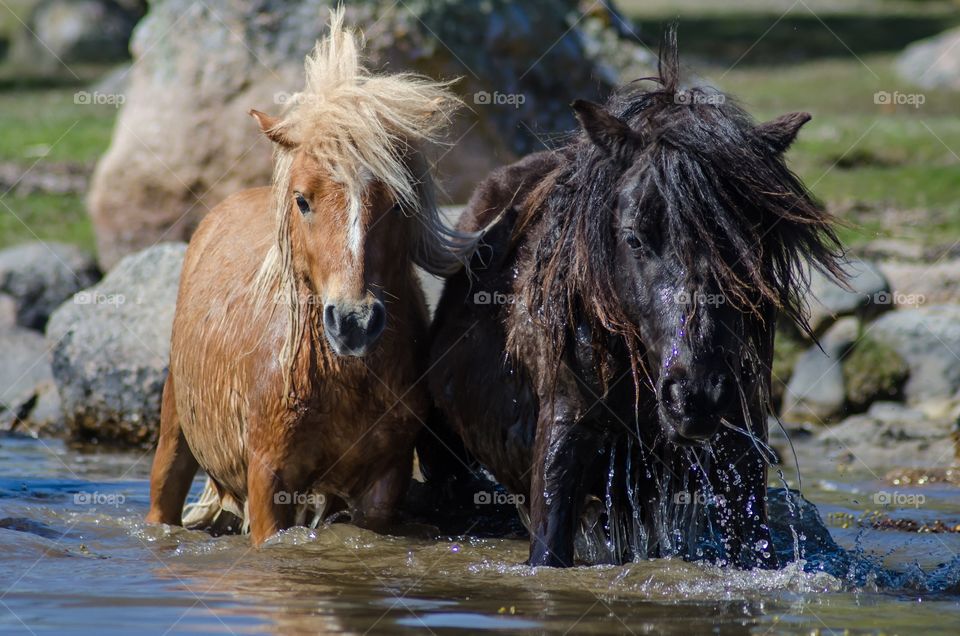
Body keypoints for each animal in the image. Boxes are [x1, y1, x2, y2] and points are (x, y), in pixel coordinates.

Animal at [146, 9, 476, 545]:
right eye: (302, 199)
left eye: (400, 205)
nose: (354, 322)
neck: (336, 379)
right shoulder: (267, 482)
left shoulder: (383, 483)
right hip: (174, 438)